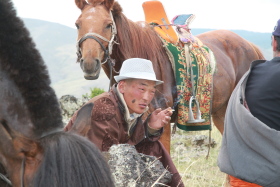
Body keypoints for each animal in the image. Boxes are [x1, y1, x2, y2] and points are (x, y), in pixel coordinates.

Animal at [74, 0, 262, 151]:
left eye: (108, 24)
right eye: (77, 24)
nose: (89, 63)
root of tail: (250, 46)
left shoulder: (160, 124)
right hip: (221, 112)